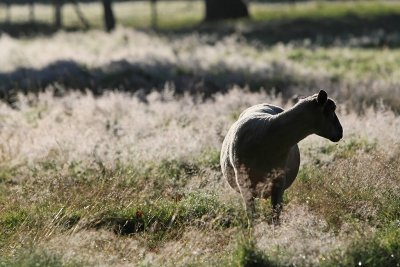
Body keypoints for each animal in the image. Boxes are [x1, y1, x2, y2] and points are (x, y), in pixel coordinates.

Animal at [220, 91, 342, 225]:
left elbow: (276, 215)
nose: (340, 132)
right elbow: (252, 216)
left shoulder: (279, 183)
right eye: (330, 109)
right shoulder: (244, 183)